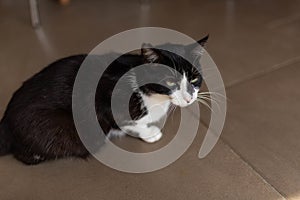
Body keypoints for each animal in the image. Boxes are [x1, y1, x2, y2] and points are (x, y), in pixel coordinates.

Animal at [0, 35, 207, 164]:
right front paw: (150, 133)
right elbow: (127, 122)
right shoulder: (108, 101)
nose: (189, 98)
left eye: (194, 79)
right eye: (170, 81)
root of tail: (5, 121)